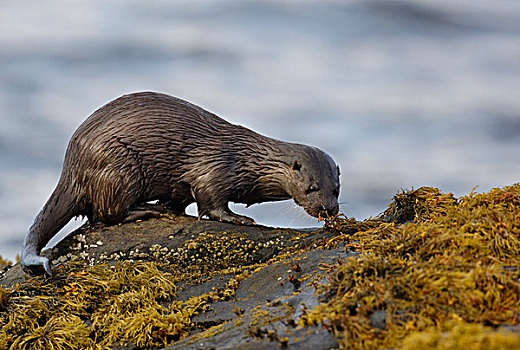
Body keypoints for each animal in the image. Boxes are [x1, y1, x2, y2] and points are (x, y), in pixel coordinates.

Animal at [21, 91, 342, 274]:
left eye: (336, 189)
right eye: (311, 188)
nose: (328, 209)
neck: (247, 160)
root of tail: (73, 164)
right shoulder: (214, 170)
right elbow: (212, 203)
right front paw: (240, 218)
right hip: (119, 168)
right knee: (106, 212)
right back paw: (148, 209)